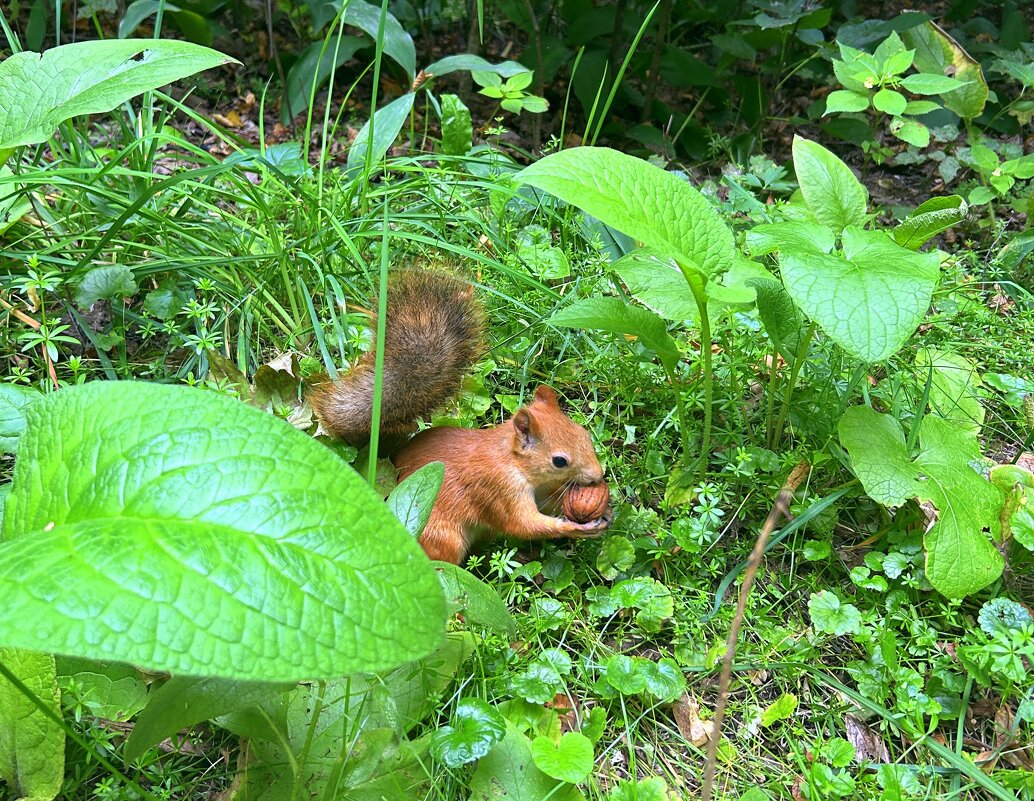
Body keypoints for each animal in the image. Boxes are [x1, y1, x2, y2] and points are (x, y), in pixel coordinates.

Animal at [310, 268, 607, 562]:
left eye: (584, 435)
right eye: (559, 461)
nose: (598, 475)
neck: (512, 461)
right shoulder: (497, 489)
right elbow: (522, 524)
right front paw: (574, 528)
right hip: (442, 537)